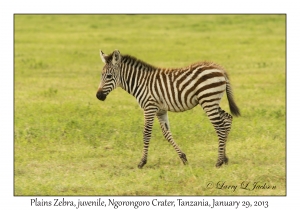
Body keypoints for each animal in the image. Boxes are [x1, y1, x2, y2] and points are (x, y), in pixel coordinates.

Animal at [96, 49, 241, 169]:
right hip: (211, 101)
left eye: (109, 76)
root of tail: (219, 68)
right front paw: (183, 158)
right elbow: (167, 134)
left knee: (220, 127)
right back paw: (225, 158)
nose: (98, 96)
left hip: (208, 100)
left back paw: (219, 161)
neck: (140, 82)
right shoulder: (160, 111)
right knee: (227, 119)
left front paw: (142, 162)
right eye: (101, 75)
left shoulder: (149, 108)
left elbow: (146, 134)